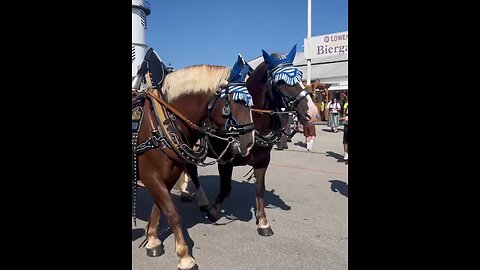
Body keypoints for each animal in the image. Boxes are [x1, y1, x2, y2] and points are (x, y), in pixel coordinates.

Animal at [132, 52, 255, 270]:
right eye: (233, 102)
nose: (249, 142)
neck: (161, 124)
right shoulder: (150, 176)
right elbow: (173, 213)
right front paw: (184, 256)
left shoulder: (169, 176)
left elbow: (158, 208)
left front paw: (152, 239)